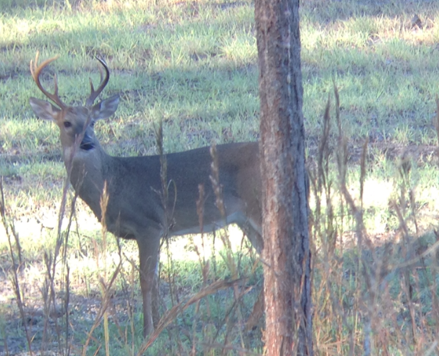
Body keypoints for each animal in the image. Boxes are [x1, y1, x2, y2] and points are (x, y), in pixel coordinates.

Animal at [30, 54, 264, 338]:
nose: (86, 142)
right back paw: (251, 323)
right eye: (66, 123)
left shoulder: (149, 224)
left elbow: (146, 280)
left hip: (258, 207)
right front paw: (162, 322)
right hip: (244, 219)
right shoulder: (154, 230)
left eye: (92, 122)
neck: (113, 182)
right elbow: (155, 277)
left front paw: (148, 330)